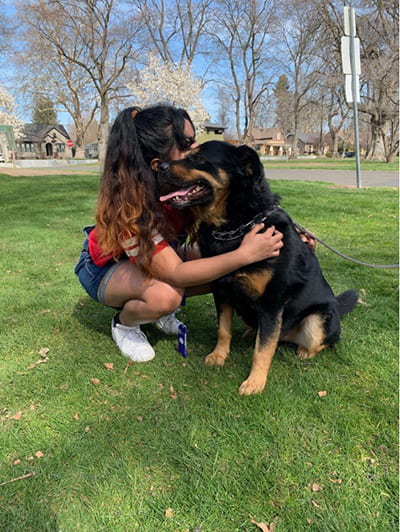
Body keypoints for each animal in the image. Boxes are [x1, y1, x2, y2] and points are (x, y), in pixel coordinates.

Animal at [158, 141, 358, 394]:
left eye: (198, 157)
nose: (160, 166)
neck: (236, 225)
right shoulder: (221, 292)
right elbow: (224, 330)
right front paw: (219, 356)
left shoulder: (272, 305)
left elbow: (262, 350)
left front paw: (255, 382)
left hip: (317, 319)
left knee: (322, 341)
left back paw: (303, 350)